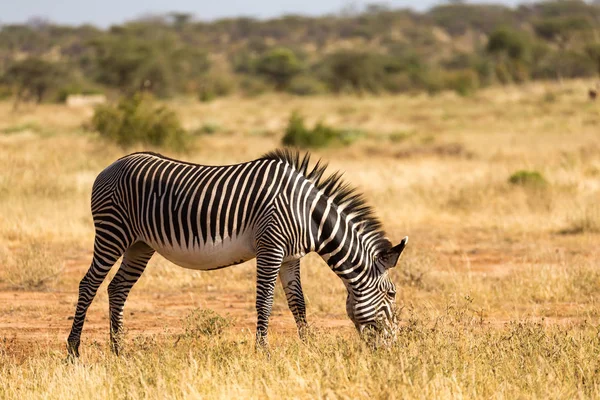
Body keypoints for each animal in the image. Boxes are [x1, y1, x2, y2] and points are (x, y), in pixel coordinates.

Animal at [67, 148, 408, 358]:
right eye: (391, 294)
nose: (393, 347)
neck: (308, 214)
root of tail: (110, 166)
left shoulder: (291, 257)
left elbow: (298, 303)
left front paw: (310, 346)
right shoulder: (271, 247)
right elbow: (265, 301)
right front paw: (263, 353)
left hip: (140, 244)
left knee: (117, 288)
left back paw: (119, 350)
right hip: (113, 233)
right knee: (89, 284)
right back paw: (73, 351)